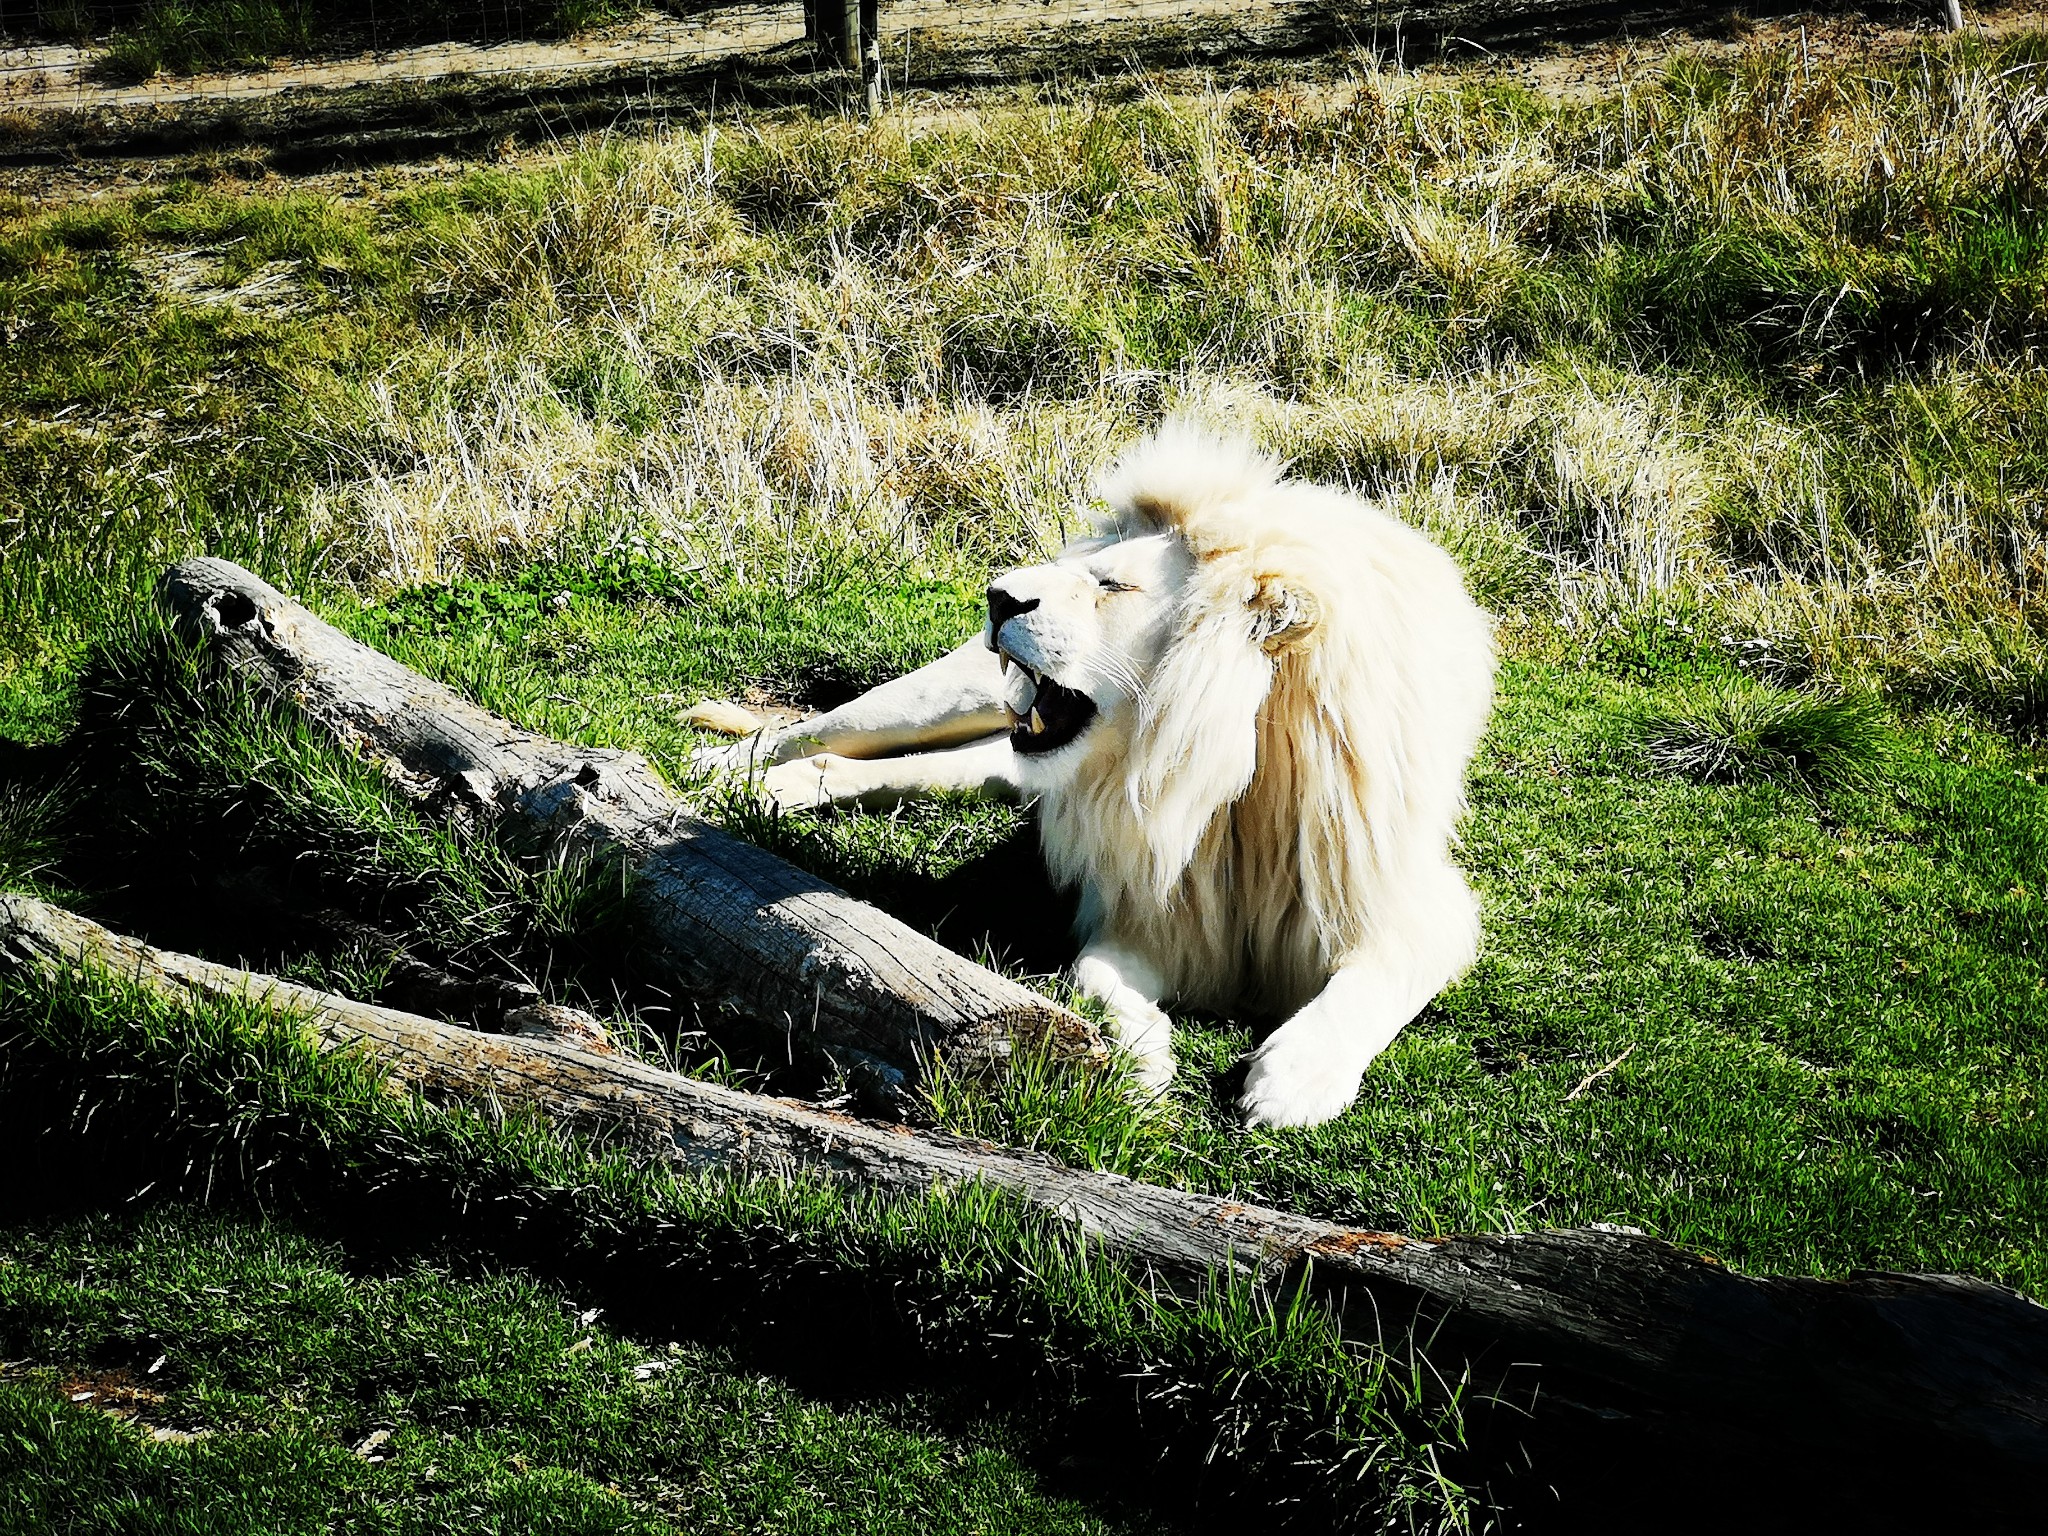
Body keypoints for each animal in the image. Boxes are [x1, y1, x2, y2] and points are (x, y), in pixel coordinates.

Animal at [696, 421, 1499, 1130]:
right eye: (1083, 570)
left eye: (1111, 584)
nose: (997, 595)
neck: (1212, 784)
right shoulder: (1139, 914)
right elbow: (1094, 978)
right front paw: (1140, 1062)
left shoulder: (1412, 903)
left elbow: (1371, 983)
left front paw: (1293, 1080)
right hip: (946, 696)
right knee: (817, 727)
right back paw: (727, 767)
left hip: (1002, 763)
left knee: (901, 767)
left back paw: (778, 788)